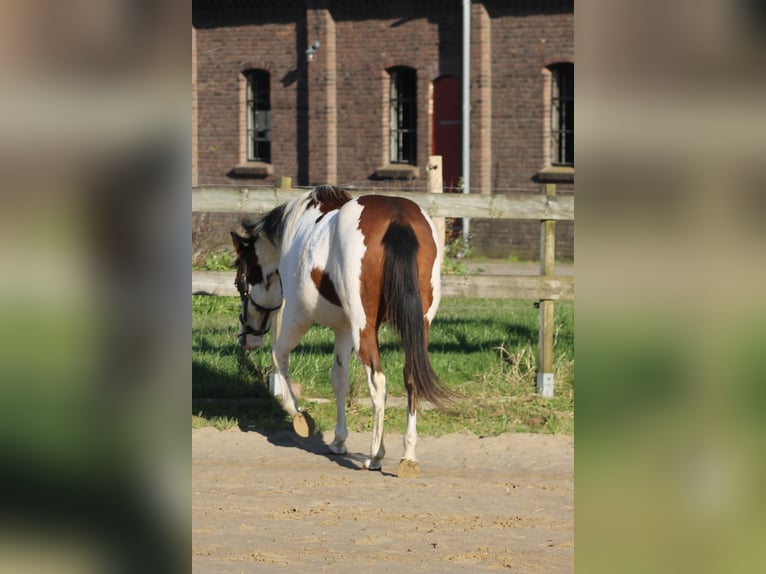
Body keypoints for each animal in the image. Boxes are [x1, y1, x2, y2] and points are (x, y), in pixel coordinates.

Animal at [231, 187, 452, 480]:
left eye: (240, 282)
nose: (247, 337)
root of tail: (398, 218)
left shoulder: (298, 317)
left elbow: (279, 357)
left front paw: (300, 417)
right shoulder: (343, 329)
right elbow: (339, 379)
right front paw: (338, 440)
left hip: (363, 328)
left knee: (378, 382)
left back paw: (376, 456)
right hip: (417, 328)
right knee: (411, 376)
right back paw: (408, 456)